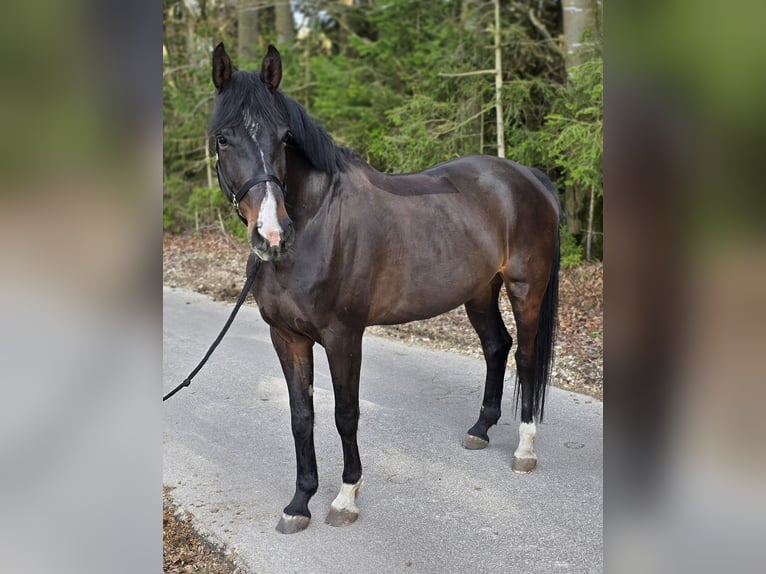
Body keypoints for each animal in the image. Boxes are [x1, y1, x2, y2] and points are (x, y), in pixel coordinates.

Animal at [208, 43, 561, 534]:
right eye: (223, 139)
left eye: (283, 138)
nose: (272, 235)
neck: (316, 223)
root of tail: (528, 177)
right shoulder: (286, 337)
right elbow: (301, 416)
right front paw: (299, 503)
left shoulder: (343, 337)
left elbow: (345, 414)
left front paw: (345, 498)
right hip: (479, 290)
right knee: (497, 346)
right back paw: (480, 430)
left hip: (525, 288)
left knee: (526, 358)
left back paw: (524, 449)